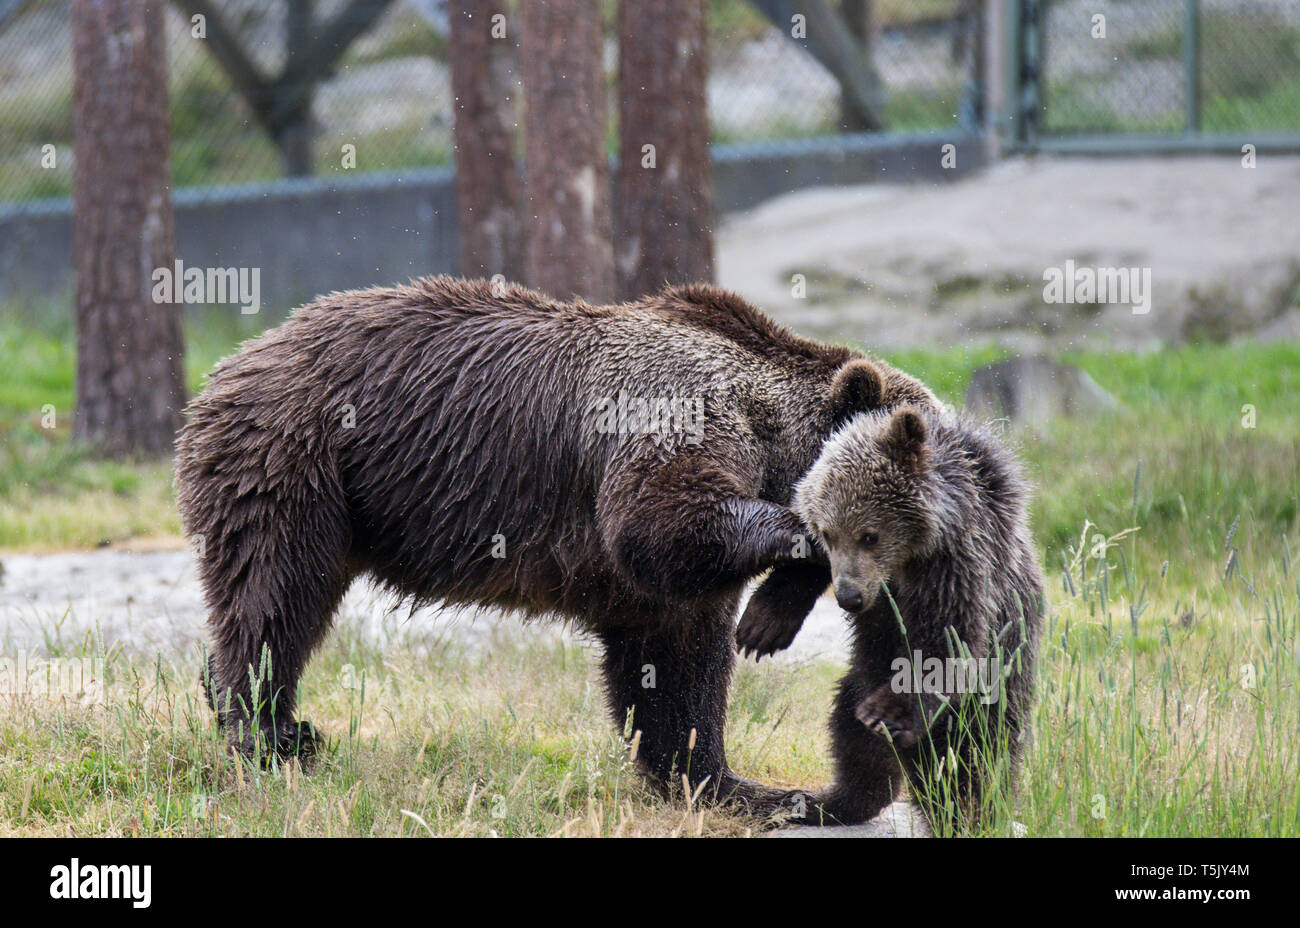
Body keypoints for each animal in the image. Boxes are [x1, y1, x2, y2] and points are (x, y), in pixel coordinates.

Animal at [174, 275, 937, 812]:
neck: (769, 435)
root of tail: (233, 362)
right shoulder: (676, 416)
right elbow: (660, 524)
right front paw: (787, 579)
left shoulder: (658, 591)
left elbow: (677, 660)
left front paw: (732, 783)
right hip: (298, 462)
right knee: (274, 592)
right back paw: (272, 736)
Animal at [735, 404, 1043, 828]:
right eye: (827, 533)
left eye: (869, 535)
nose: (849, 597)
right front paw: (763, 623)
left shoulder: (959, 563)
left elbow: (946, 641)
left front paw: (888, 713)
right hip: (860, 678)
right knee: (852, 734)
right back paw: (827, 801)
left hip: (1002, 672)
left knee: (975, 752)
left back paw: (965, 812)